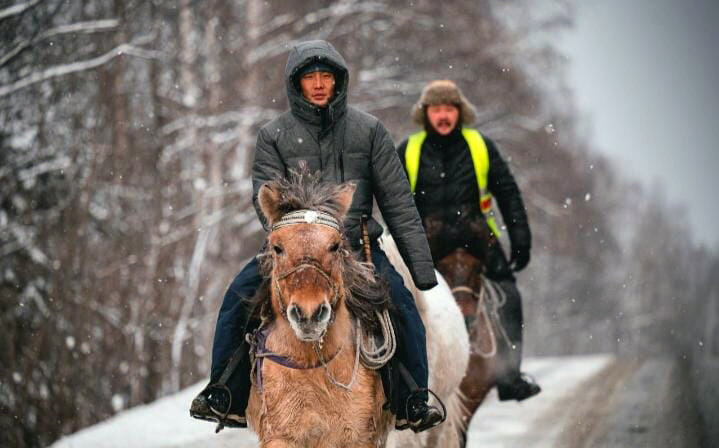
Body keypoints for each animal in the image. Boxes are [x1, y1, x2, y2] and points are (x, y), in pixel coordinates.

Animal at [248, 172, 472, 448]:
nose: (309, 314)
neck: (314, 365)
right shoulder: (282, 436)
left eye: (335, 246)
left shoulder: (365, 437)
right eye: (277, 247)